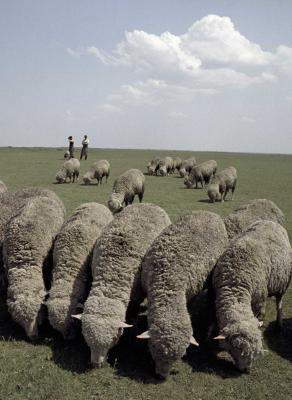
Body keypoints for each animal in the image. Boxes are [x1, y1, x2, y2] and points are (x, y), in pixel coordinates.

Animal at [77, 203, 170, 368]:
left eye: (113, 340)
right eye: (86, 337)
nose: (96, 364)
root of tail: (149, 204)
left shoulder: (136, 294)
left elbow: (132, 313)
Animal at [138, 211, 229, 380]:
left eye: (179, 357)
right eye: (153, 348)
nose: (161, 376)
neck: (168, 284)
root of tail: (210, 213)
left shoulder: (189, 293)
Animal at [212, 219, 292, 372]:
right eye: (236, 349)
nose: (246, 370)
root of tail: (270, 221)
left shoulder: (258, 301)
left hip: (282, 282)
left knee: (279, 302)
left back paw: (279, 324)